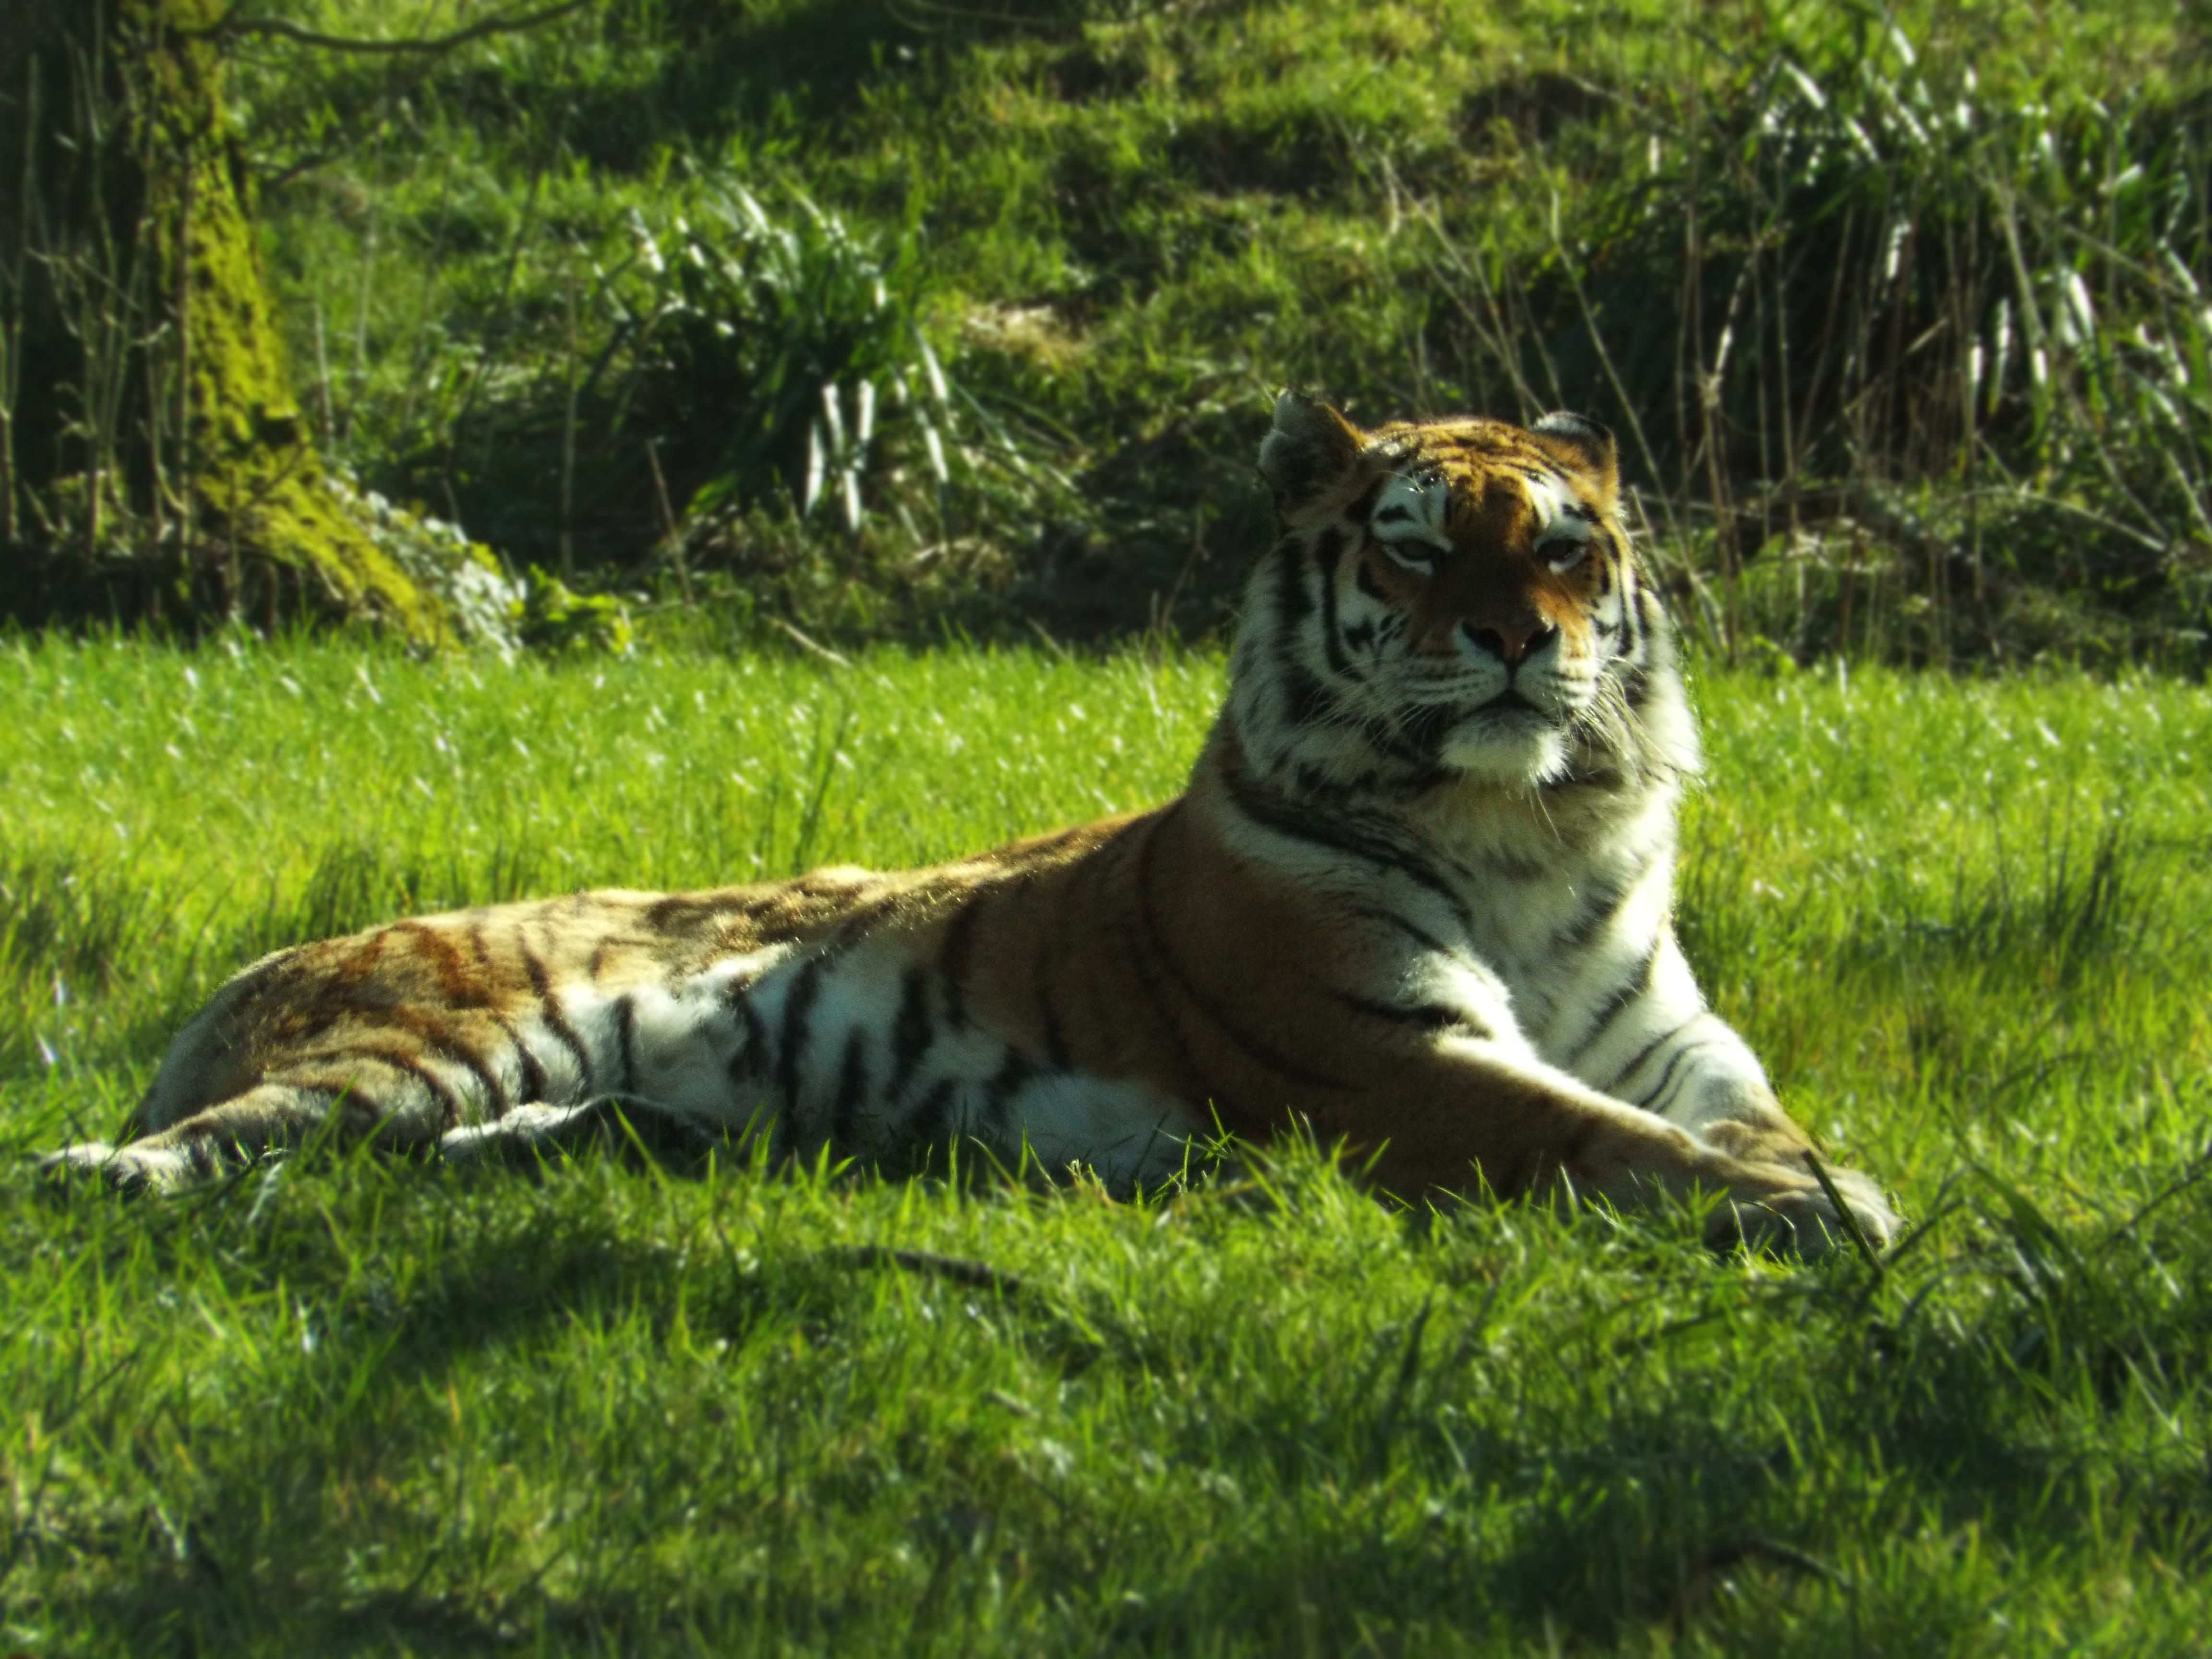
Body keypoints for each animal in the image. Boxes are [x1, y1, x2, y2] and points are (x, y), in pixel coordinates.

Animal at [47, 394, 1898, 1254]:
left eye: (1565, 545)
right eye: (1418, 543)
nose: (1521, 637)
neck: (1527, 832)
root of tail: (264, 963)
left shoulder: (1677, 1043)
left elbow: (1745, 1117)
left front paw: (1822, 1180)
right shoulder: (1387, 1060)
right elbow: (1598, 1138)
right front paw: (1821, 1212)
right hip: (427, 1047)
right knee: (208, 1144)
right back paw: (96, 1175)